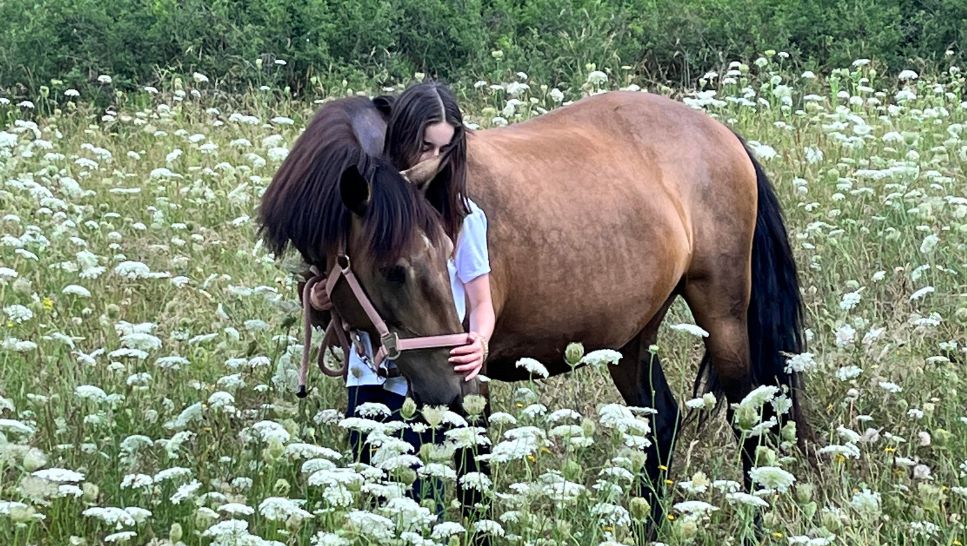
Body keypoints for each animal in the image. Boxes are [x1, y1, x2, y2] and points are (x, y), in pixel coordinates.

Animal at [260, 90, 808, 524]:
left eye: (447, 252)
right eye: (394, 269)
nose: (446, 386)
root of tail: (721, 133)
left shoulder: (473, 372)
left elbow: (473, 480)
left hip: (723, 316)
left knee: (751, 420)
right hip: (632, 337)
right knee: (662, 422)